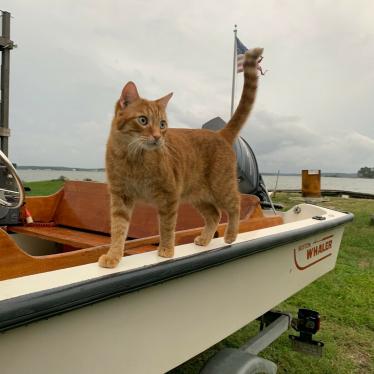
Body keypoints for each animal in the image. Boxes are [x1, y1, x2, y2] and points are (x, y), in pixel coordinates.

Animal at [99, 47, 262, 268]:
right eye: (143, 120)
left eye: (162, 124)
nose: (157, 137)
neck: (132, 157)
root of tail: (219, 134)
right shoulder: (120, 197)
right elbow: (118, 230)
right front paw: (113, 256)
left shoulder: (169, 196)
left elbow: (167, 227)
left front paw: (166, 250)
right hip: (198, 196)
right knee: (215, 214)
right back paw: (205, 239)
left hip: (221, 186)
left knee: (234, 204)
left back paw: (230, 235)